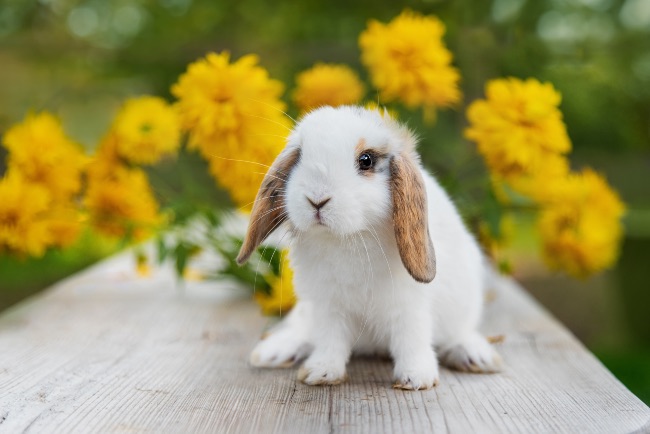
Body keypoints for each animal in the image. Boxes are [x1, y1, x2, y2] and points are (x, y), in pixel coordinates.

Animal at [236, 105, 502, 390]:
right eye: (300, 157)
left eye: (366, 160)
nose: (317, 200)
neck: (349, 236)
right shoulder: (328, 306)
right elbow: (330, 339)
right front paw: (321, 373)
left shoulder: (409, 304)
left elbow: (412, 337)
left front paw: (415, 378)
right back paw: (273, 352)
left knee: (458, 333)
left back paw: (476, 356)